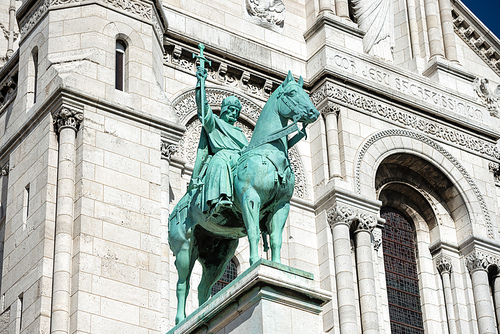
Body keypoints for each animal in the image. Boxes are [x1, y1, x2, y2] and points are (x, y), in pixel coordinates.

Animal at [167, 70, 316, 324]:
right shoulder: (250, 198)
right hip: (184, 248)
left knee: (202, 288)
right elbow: (255, 232)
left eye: (305, 93)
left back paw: (200, 312)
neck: (267, 152)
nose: (313, 113)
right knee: (181, 285)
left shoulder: (281, 206)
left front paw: (277, 266)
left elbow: (275, 238)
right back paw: (180, 320)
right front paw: (256, 262)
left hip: (219, 254)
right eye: (291, 93)